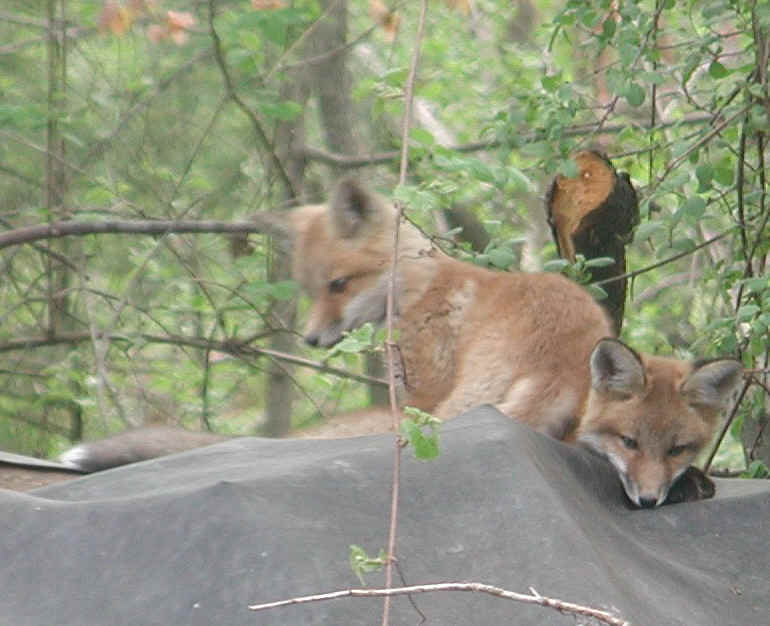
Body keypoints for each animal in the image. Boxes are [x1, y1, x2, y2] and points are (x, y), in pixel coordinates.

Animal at [290, 178, 743, 508]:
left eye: (337, 285)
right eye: (309, 290)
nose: (310, 339)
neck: (420, 284)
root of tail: (553, 361)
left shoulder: (422, 393)